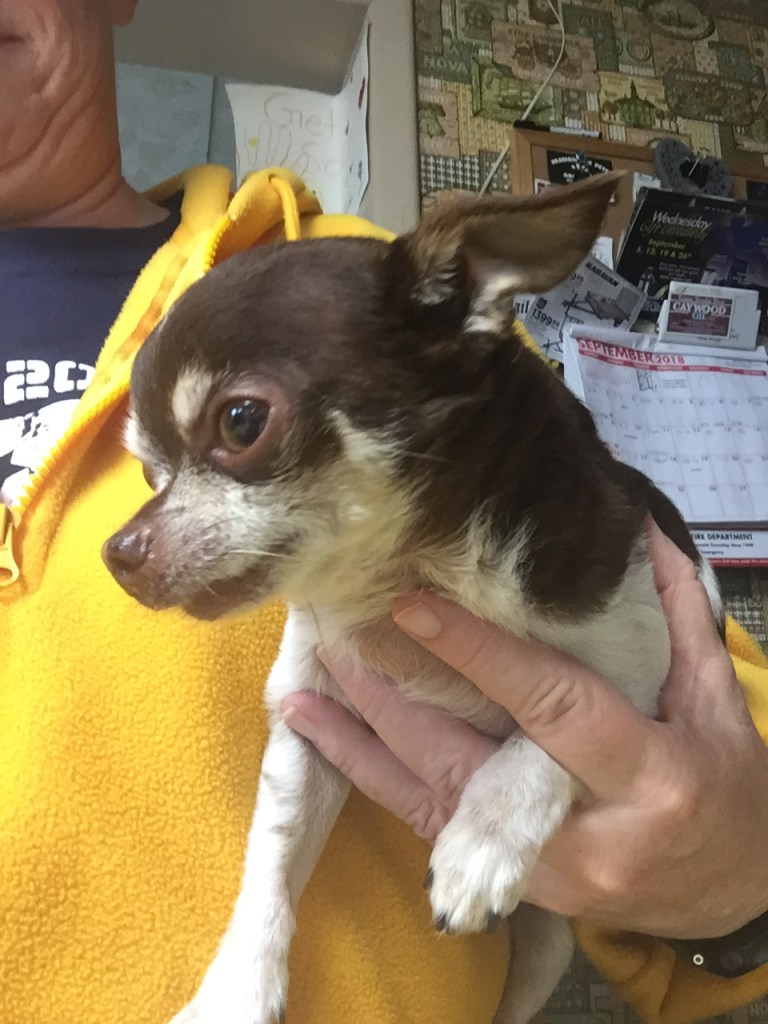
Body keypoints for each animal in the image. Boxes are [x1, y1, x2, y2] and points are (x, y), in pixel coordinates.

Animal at [103, 172, 723, 1024]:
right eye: (146, 472)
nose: (119, 553)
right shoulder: (309, 717)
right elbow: (272, 858)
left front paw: (481, 841)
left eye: (241, 421)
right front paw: (237, 987)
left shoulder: (638, 659)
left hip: (549, 943)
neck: (410, 573)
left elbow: (553, 736)